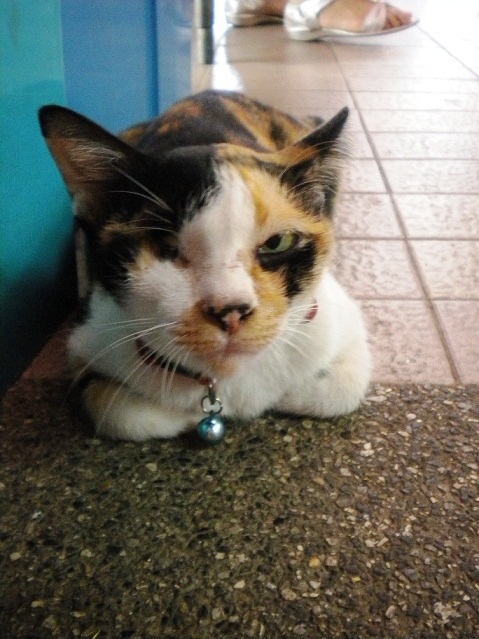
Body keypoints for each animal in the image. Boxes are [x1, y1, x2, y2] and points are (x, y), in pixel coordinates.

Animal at [39, 90, 371, 441]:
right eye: (164, 245)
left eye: (277, 243)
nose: (231, 312)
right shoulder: (87, 334)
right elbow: (120, 415)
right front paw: (181, 416)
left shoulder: (340, 319)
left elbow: (344, 388)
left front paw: (287, 394)